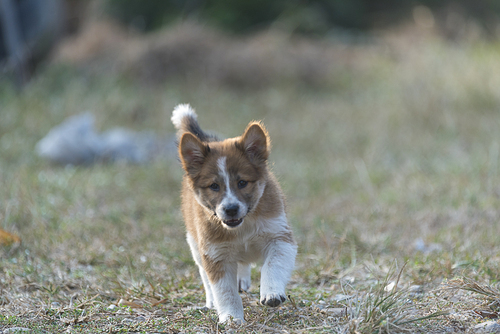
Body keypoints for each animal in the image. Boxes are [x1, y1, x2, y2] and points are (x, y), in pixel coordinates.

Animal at [172, 105, 296, 324]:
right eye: (214, 186)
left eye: (242, 183)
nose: (230, 209)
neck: (242, 227)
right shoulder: (215, 254)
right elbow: (225, 291)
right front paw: (231, 318)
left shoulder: (279, 238)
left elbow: (272, 266)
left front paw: (271, 293)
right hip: (195, 246)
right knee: (205, 276)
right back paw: (211, 302)